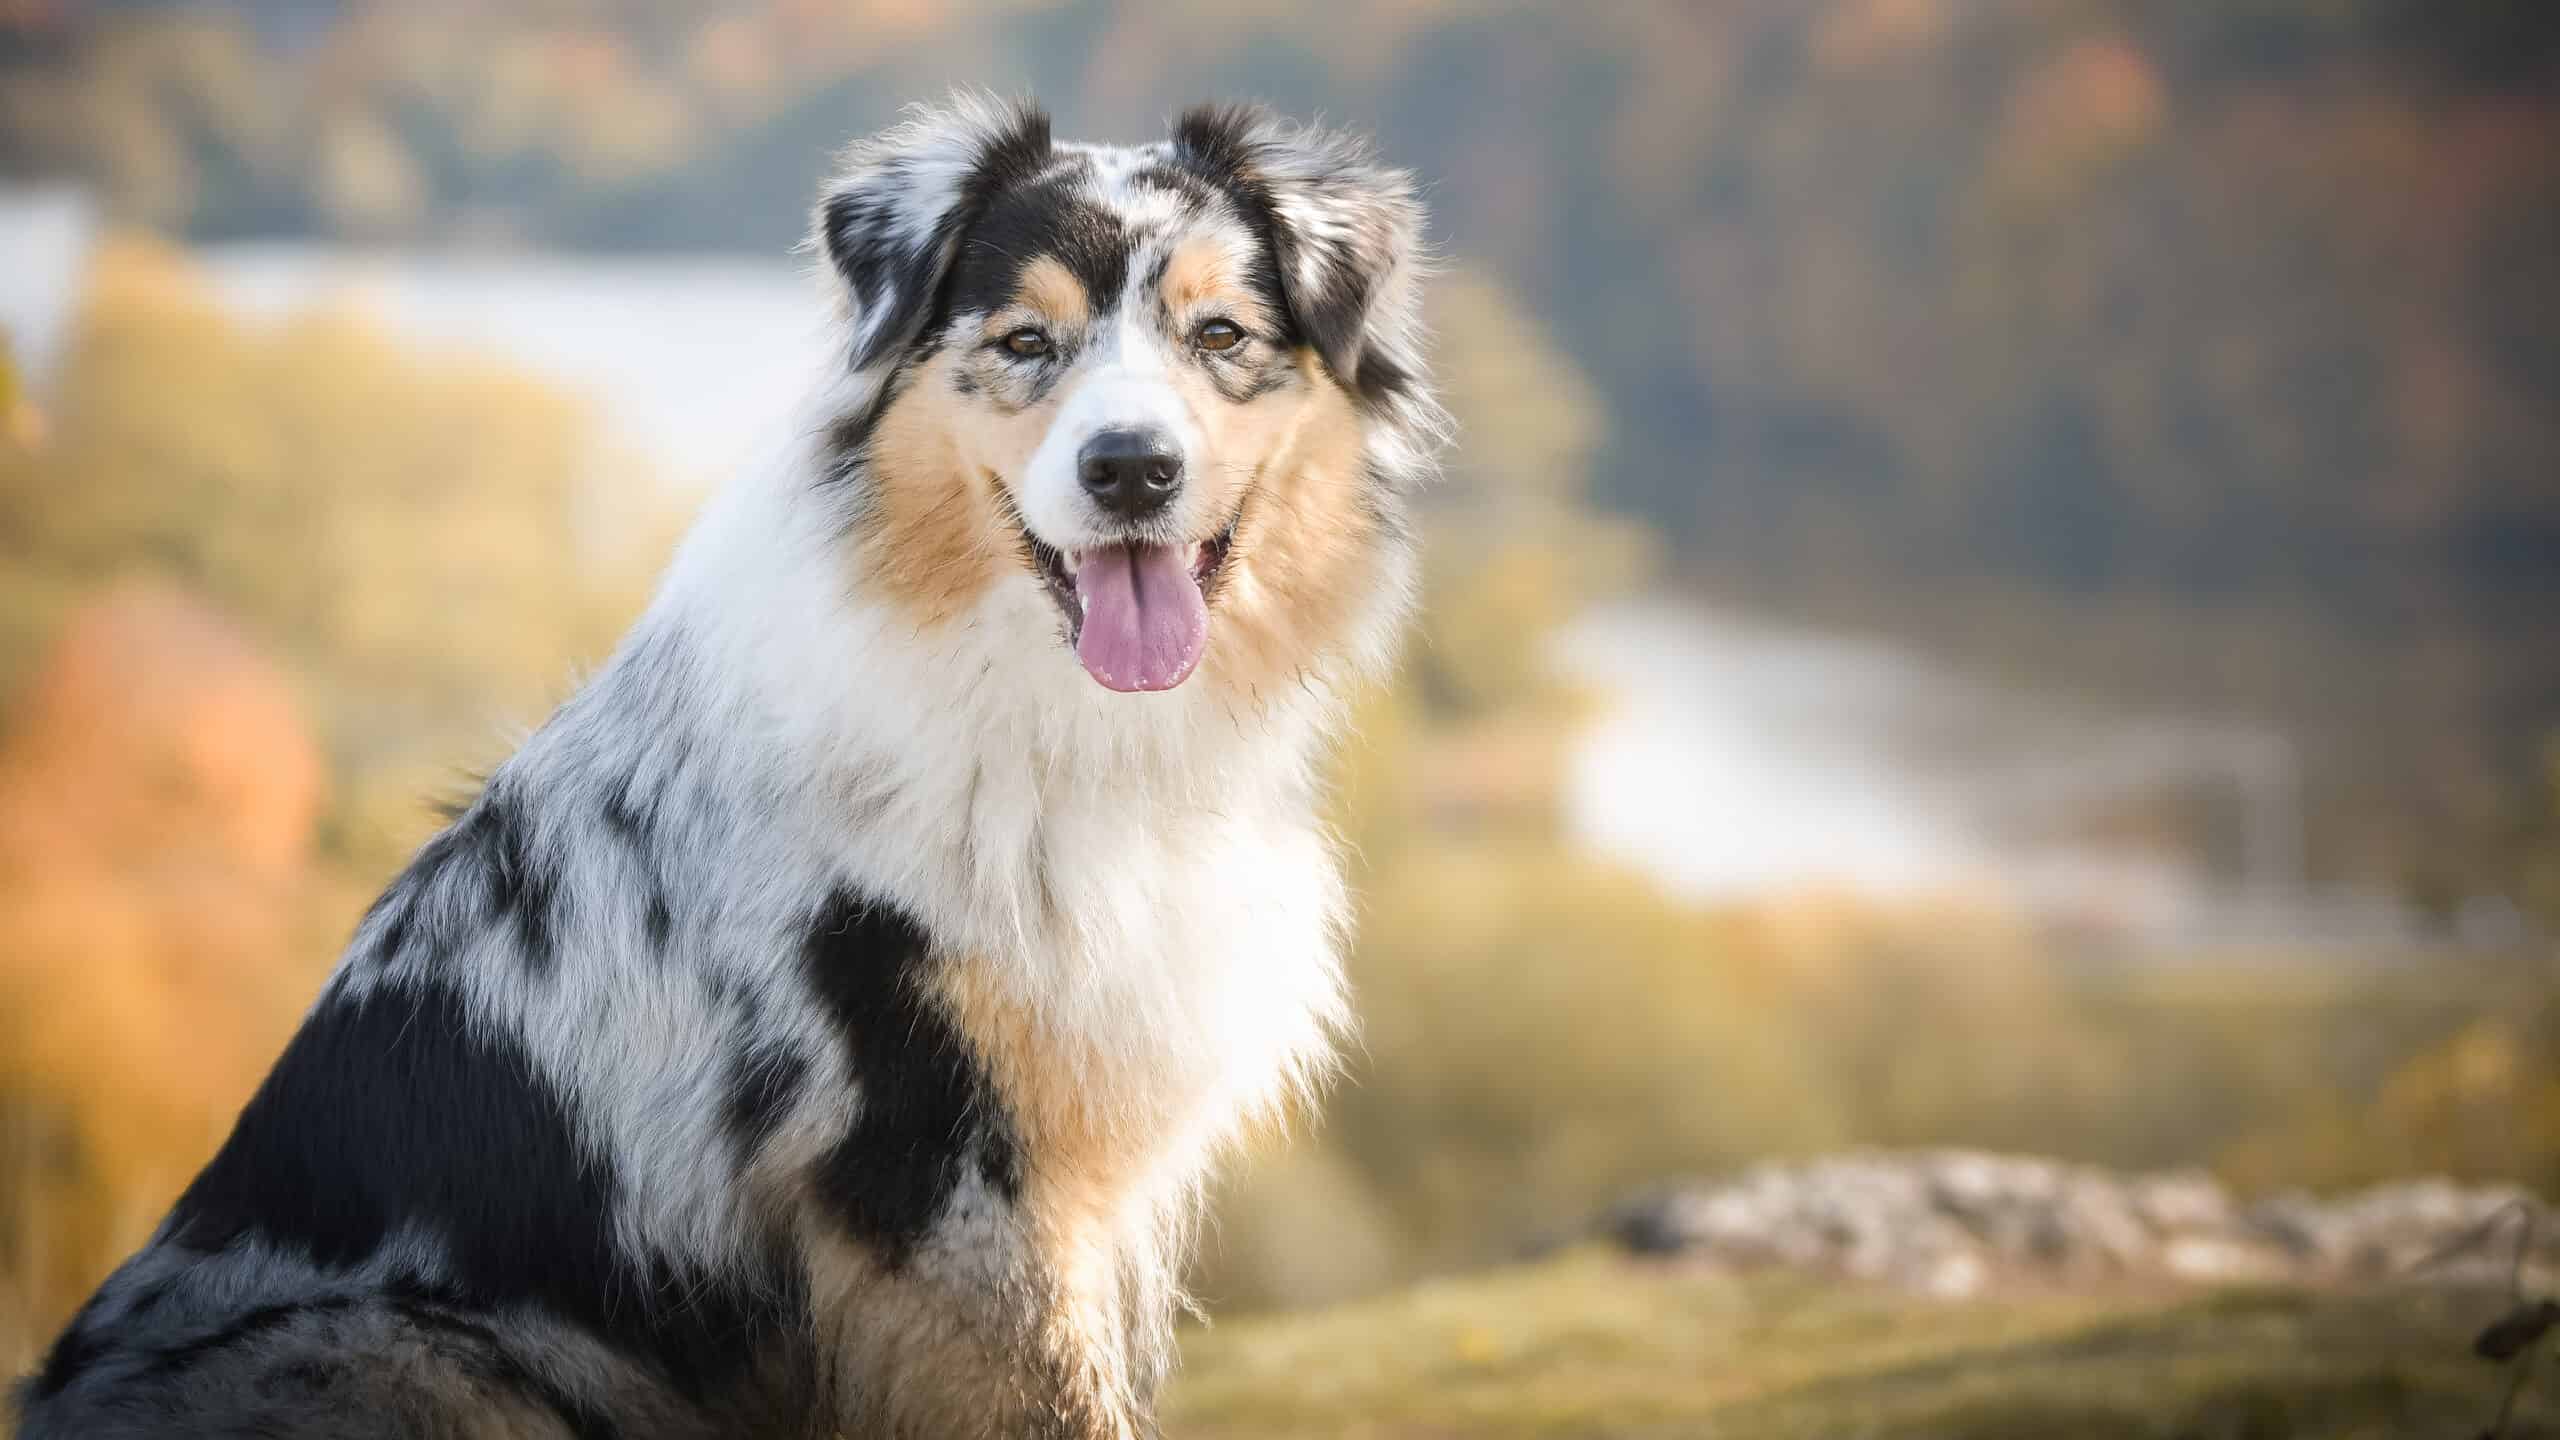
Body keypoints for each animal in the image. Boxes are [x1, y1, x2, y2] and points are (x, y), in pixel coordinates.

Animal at [10, 95, 1443, 1424]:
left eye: (1221, 338)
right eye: (1024, 343)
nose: (1131, 470)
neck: (1059, 721)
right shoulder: (940, 1182)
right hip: (411, 1349)